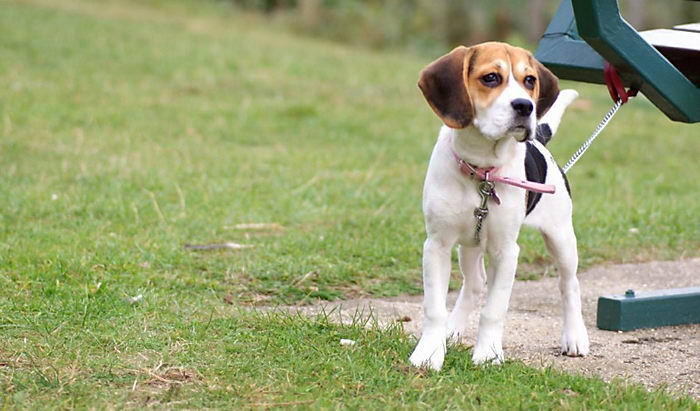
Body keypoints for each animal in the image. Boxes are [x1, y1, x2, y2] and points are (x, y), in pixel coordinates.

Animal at [408, 41, 588, 370]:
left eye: (529, 80)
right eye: (491, 78)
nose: (525, 107)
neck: (482, 170)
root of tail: (541, 142)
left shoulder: (506, 251)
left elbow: (494, 310)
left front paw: (489, 353)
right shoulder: (437, 245)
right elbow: (434, 308)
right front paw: (429, 352)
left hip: (561, 238)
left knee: (569, 284)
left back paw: (574, 336)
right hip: (469, 245)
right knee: (475, 283)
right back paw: (453, 329)